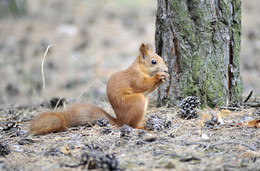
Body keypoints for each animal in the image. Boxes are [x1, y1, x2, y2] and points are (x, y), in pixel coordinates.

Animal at [29, 43, 170, 134]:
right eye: (153, 62)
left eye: (161, 57)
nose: (167, 70)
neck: (140, 67)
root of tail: (120, 120)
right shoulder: (135, 77)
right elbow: (142, 85)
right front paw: (158, 76)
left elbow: (148, 89)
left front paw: (163, 78)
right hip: (137, 101)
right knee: (132, 124)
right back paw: (141, 127)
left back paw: (144, 120)